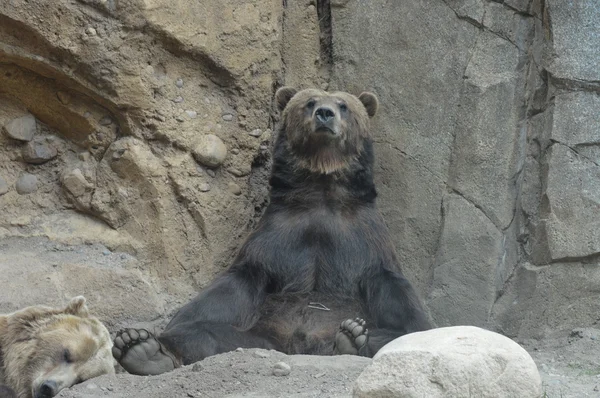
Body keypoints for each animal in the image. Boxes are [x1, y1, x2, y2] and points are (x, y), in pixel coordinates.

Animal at [111, 87, 432, 376]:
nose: (324, 113)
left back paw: (353, 337)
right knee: (202, 331)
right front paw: (150, 338)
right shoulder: (278, 235)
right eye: (309, 101)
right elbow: (230, 288)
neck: (321, 190)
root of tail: (296, 347)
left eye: (344, 105)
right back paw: (141, 348)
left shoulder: (362, 239)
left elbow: (404, 308)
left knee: (399, 336)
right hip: (258, 335)